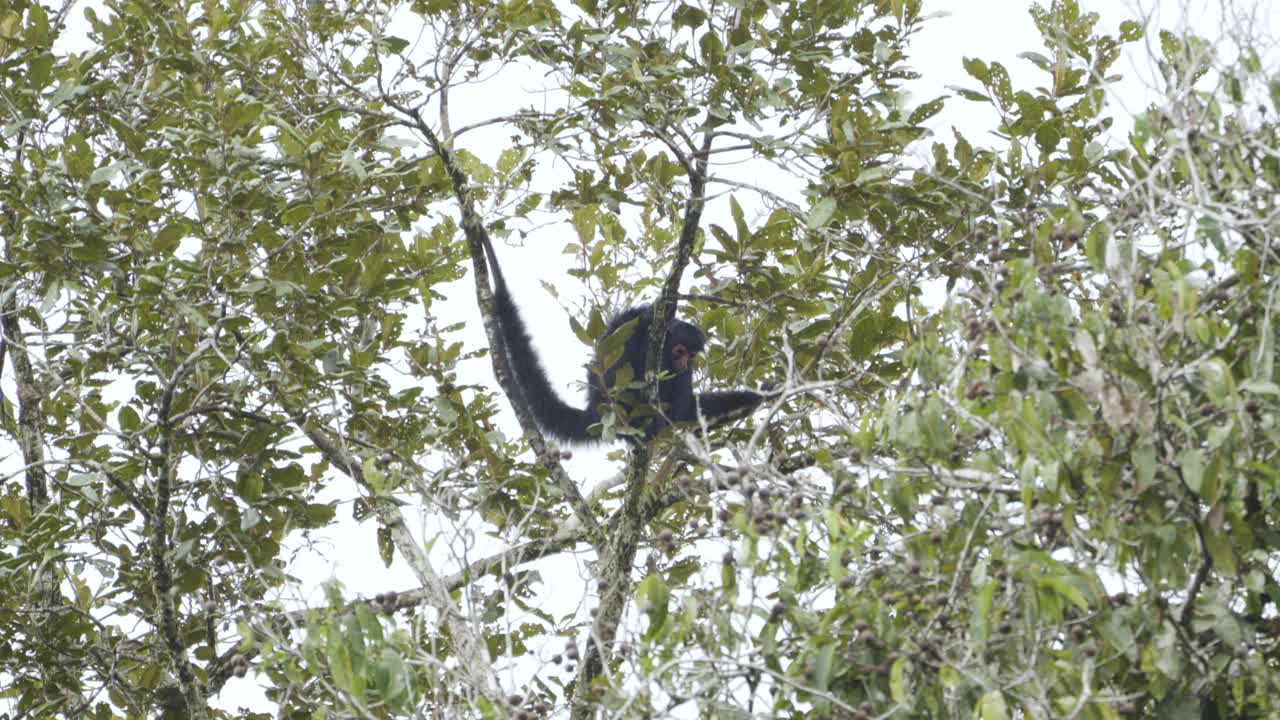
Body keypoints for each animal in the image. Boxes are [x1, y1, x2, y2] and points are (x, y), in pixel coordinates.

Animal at [478, 234, 767, 443]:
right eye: (680, 351)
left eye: (692, 355)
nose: (684, 363)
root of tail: (594, 410)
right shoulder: (634, 323)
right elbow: (625, 344)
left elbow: (684, 407)